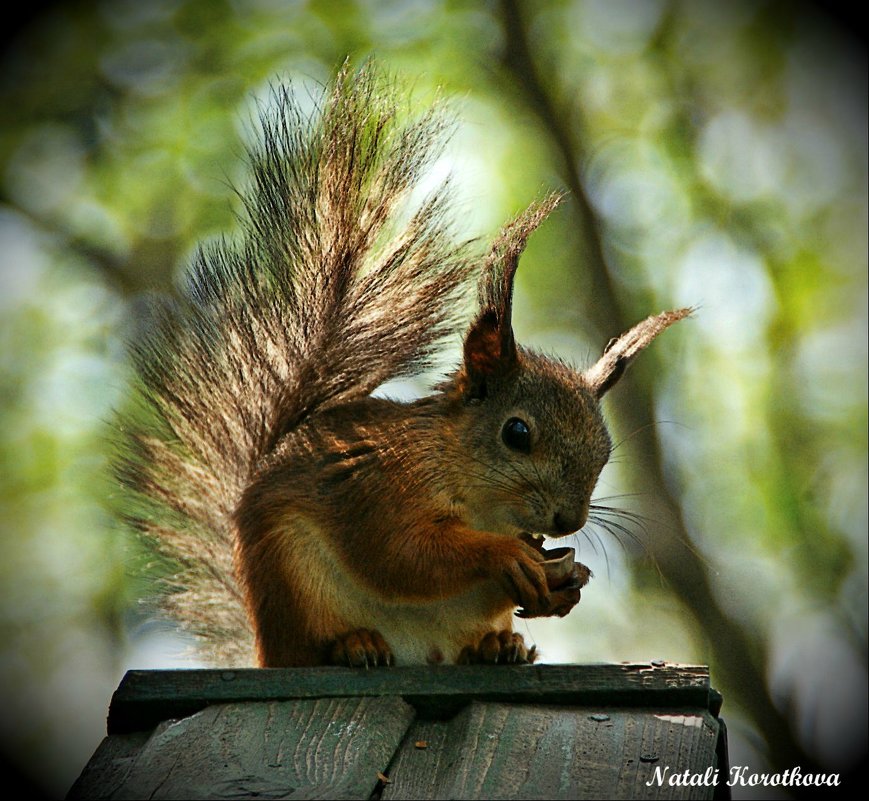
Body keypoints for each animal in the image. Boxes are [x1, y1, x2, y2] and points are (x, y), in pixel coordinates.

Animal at [117, 62, 684, 664]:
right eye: (517, 433)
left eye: (605, 451)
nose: (568, 520)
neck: (476, 494)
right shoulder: (380, 490)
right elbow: (404, 555)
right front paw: (506, 555)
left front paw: (566, 584)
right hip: (293, 580)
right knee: (316, 643)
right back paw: (355, 644)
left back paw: (499, 645)